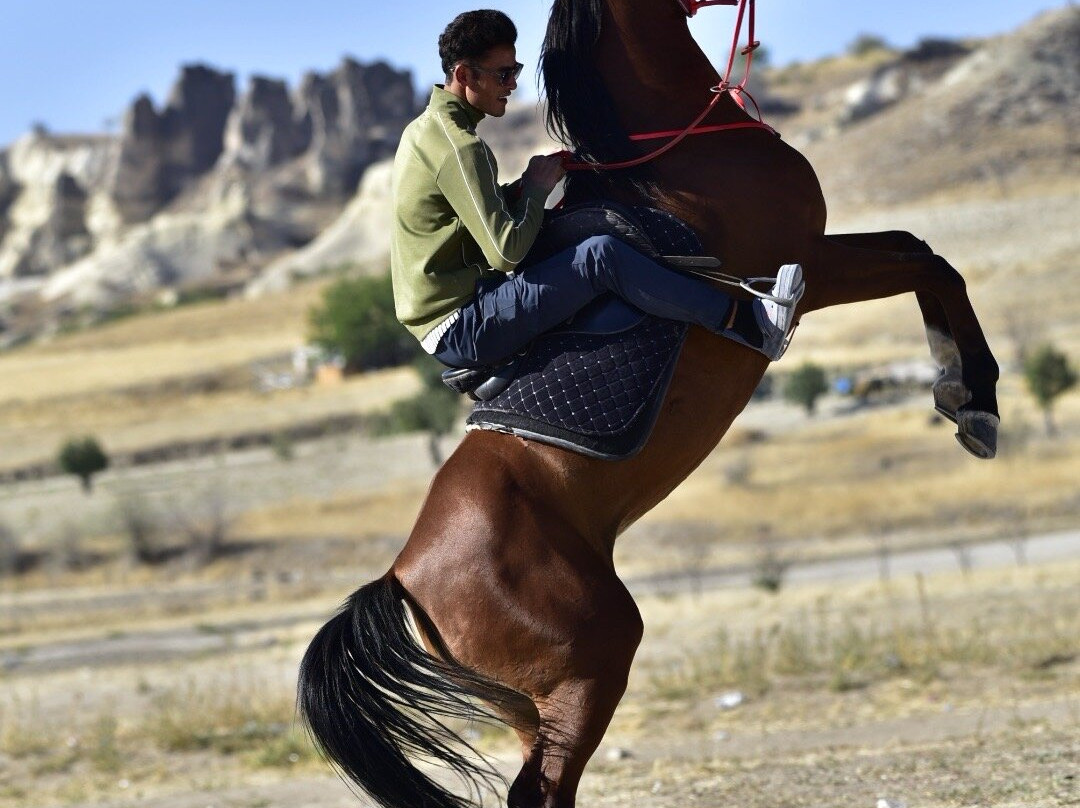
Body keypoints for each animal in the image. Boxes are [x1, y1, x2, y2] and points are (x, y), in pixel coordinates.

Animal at [297, 1, 1001, 806]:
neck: (675, 160)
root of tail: (402, 579)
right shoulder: (806, 264)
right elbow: (927, 263)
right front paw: (973, 401)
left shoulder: (823, 251)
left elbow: (920, 249)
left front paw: (965, 399)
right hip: (590, 668)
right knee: (543, 791)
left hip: (533, 702)